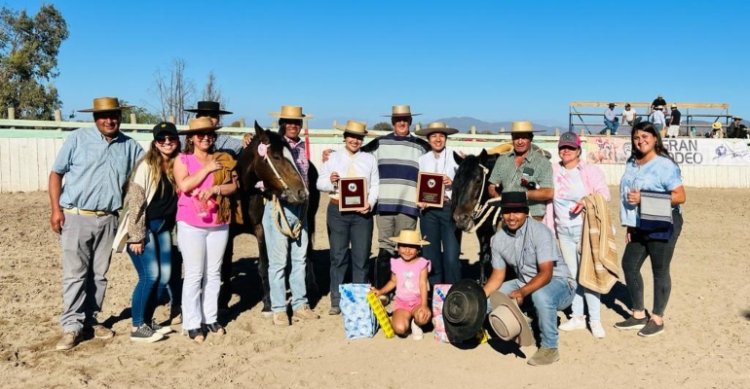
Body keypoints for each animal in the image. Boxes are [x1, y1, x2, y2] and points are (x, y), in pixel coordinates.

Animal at [219, 121, 312, 316]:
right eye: (276, 157)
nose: (302, 192)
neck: (243, 195)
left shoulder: (260, 230)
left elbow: (264, 266)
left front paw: (268, 304)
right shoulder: (228, 233)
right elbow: (225, 266)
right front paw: (222, 302)